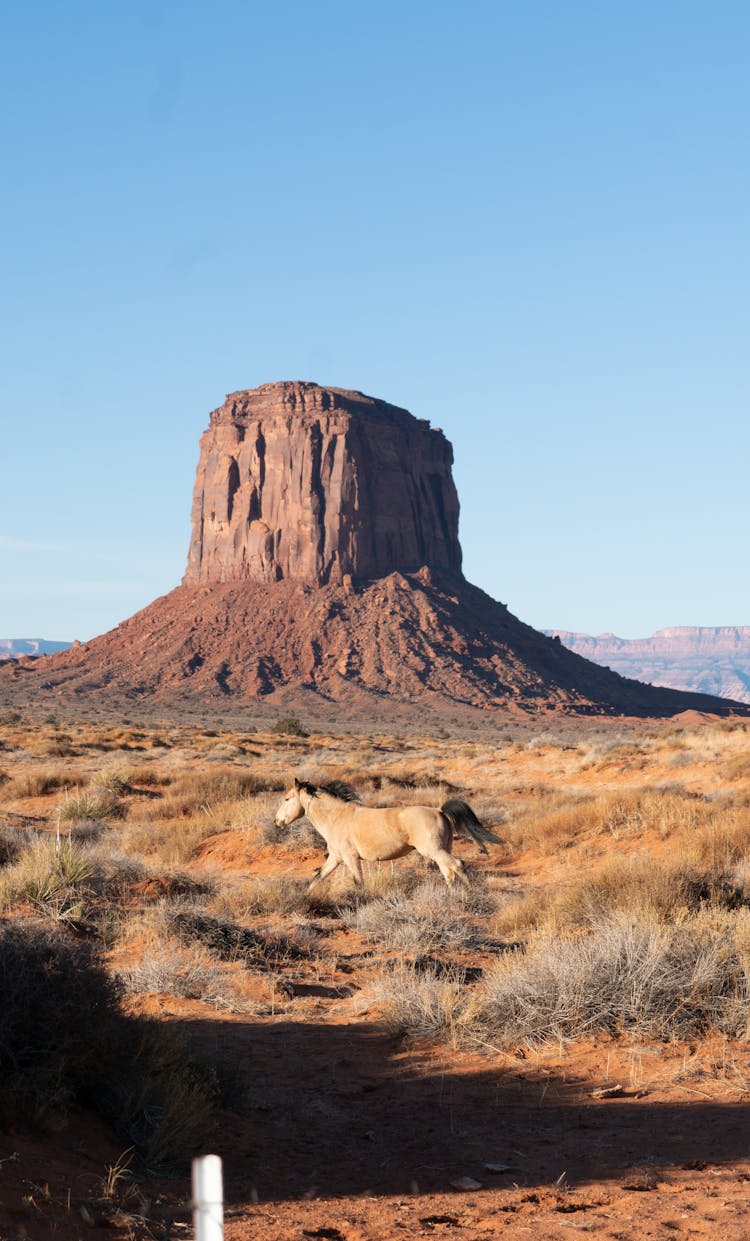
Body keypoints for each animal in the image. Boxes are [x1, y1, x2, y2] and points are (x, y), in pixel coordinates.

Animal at [271, 779, 501, 888]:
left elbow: (358, 882)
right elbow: (317, 878)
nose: (277, 821)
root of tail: (439, 811)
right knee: (449, 871)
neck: (336, 817)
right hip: (441, 850)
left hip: (433, 850)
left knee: (457, 865)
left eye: (287, 798)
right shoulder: (336, 858)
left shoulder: (351, 858)